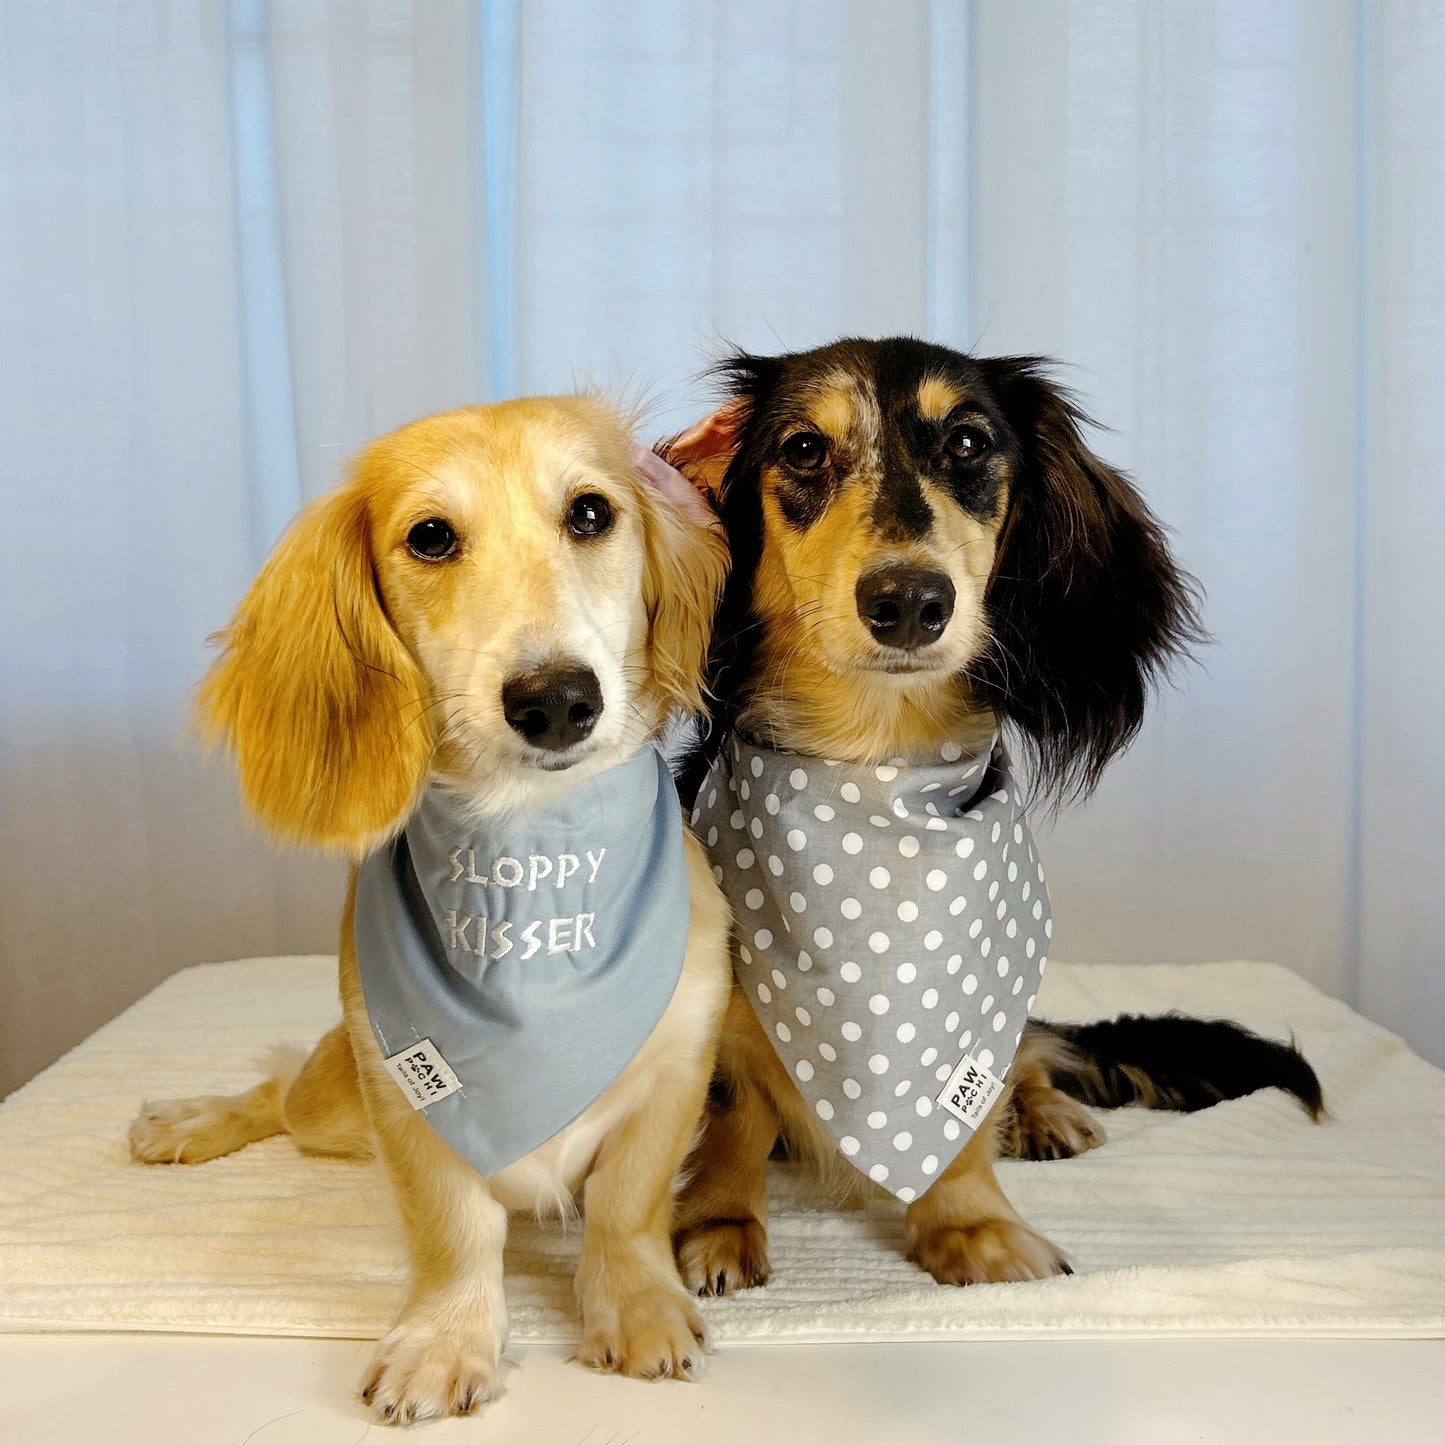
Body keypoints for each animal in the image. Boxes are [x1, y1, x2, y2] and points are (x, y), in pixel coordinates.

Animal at [128, 395, 728, 1421]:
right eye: (432, 536)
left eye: (591, 513)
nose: (557, 699)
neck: (534, 862)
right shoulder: (404, 1091)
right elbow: (453, 1230)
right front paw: (446, 1339)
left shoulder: (678, 1065)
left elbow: (628, 1202)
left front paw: (639, 1303)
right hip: (334, 1103)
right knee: (276, 1095)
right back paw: (191, 1121)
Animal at [661, 341, 1317, 1300]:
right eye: (803, 448)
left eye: (968, 441)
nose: (907, 600)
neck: (875, 774)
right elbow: (730, 1109)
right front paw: (717, 1224)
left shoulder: (975, 982)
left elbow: (966, 1113)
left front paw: (974, 1226)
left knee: (1032, 1053)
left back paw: (1044, 1114)